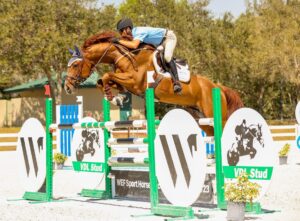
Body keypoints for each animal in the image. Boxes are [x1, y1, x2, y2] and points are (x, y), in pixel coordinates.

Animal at [64, 31, 243, 135]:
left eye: (75, 65)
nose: (67, 87)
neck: (126, 57)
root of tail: (217, 87)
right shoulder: (125, 81)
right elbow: (103, 81)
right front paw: (116, 98)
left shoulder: (134, 82)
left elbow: (107, 75)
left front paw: (114, 98)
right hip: (201, 119)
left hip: (216, 115)